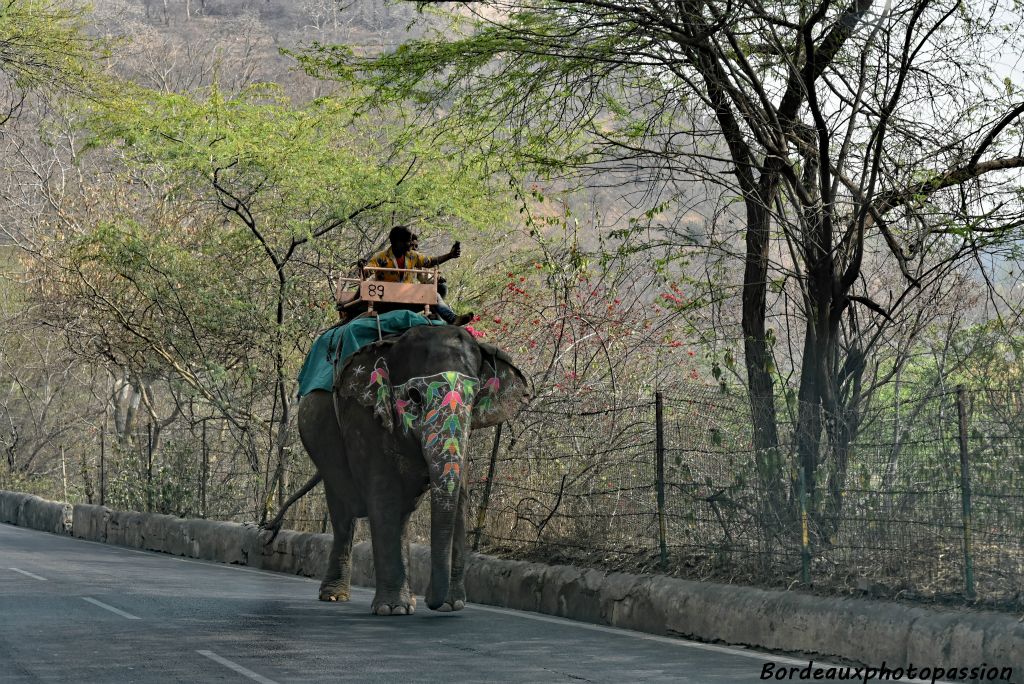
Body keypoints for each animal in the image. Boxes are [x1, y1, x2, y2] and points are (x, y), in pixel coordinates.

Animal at [296, 325, 528, 614]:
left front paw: (451, 605)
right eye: (414, 396)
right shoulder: (363, 418)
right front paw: (392, 609)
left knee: (401, 515)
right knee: (343, 513)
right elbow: (383, 494)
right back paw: (335, 596)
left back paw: (409, 600)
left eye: (475, 398)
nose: (433, 602)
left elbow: (459, 497)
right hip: (325, 452)